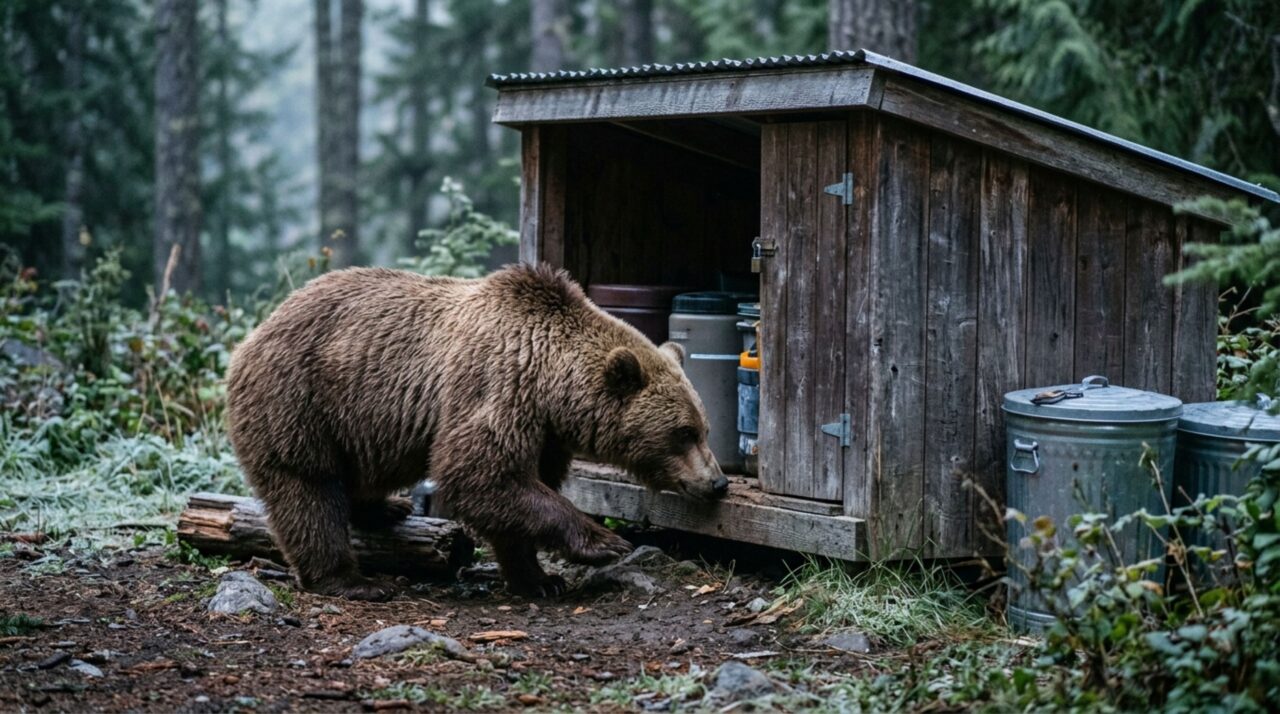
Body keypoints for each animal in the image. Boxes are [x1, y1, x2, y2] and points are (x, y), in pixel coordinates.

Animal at [225, 263, 728, 600]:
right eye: (683, 433)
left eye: (704, 429)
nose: (718, 482)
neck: (550, 384)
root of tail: (252, 335)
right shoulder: (497, 385)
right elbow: (481, 475)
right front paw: (603, 543)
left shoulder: (544, 432)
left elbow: (519, 491)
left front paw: (539, 578)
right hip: (301, 400)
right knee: (307, 488)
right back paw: (348, 579)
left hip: (356, 422)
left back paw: (386, 507)